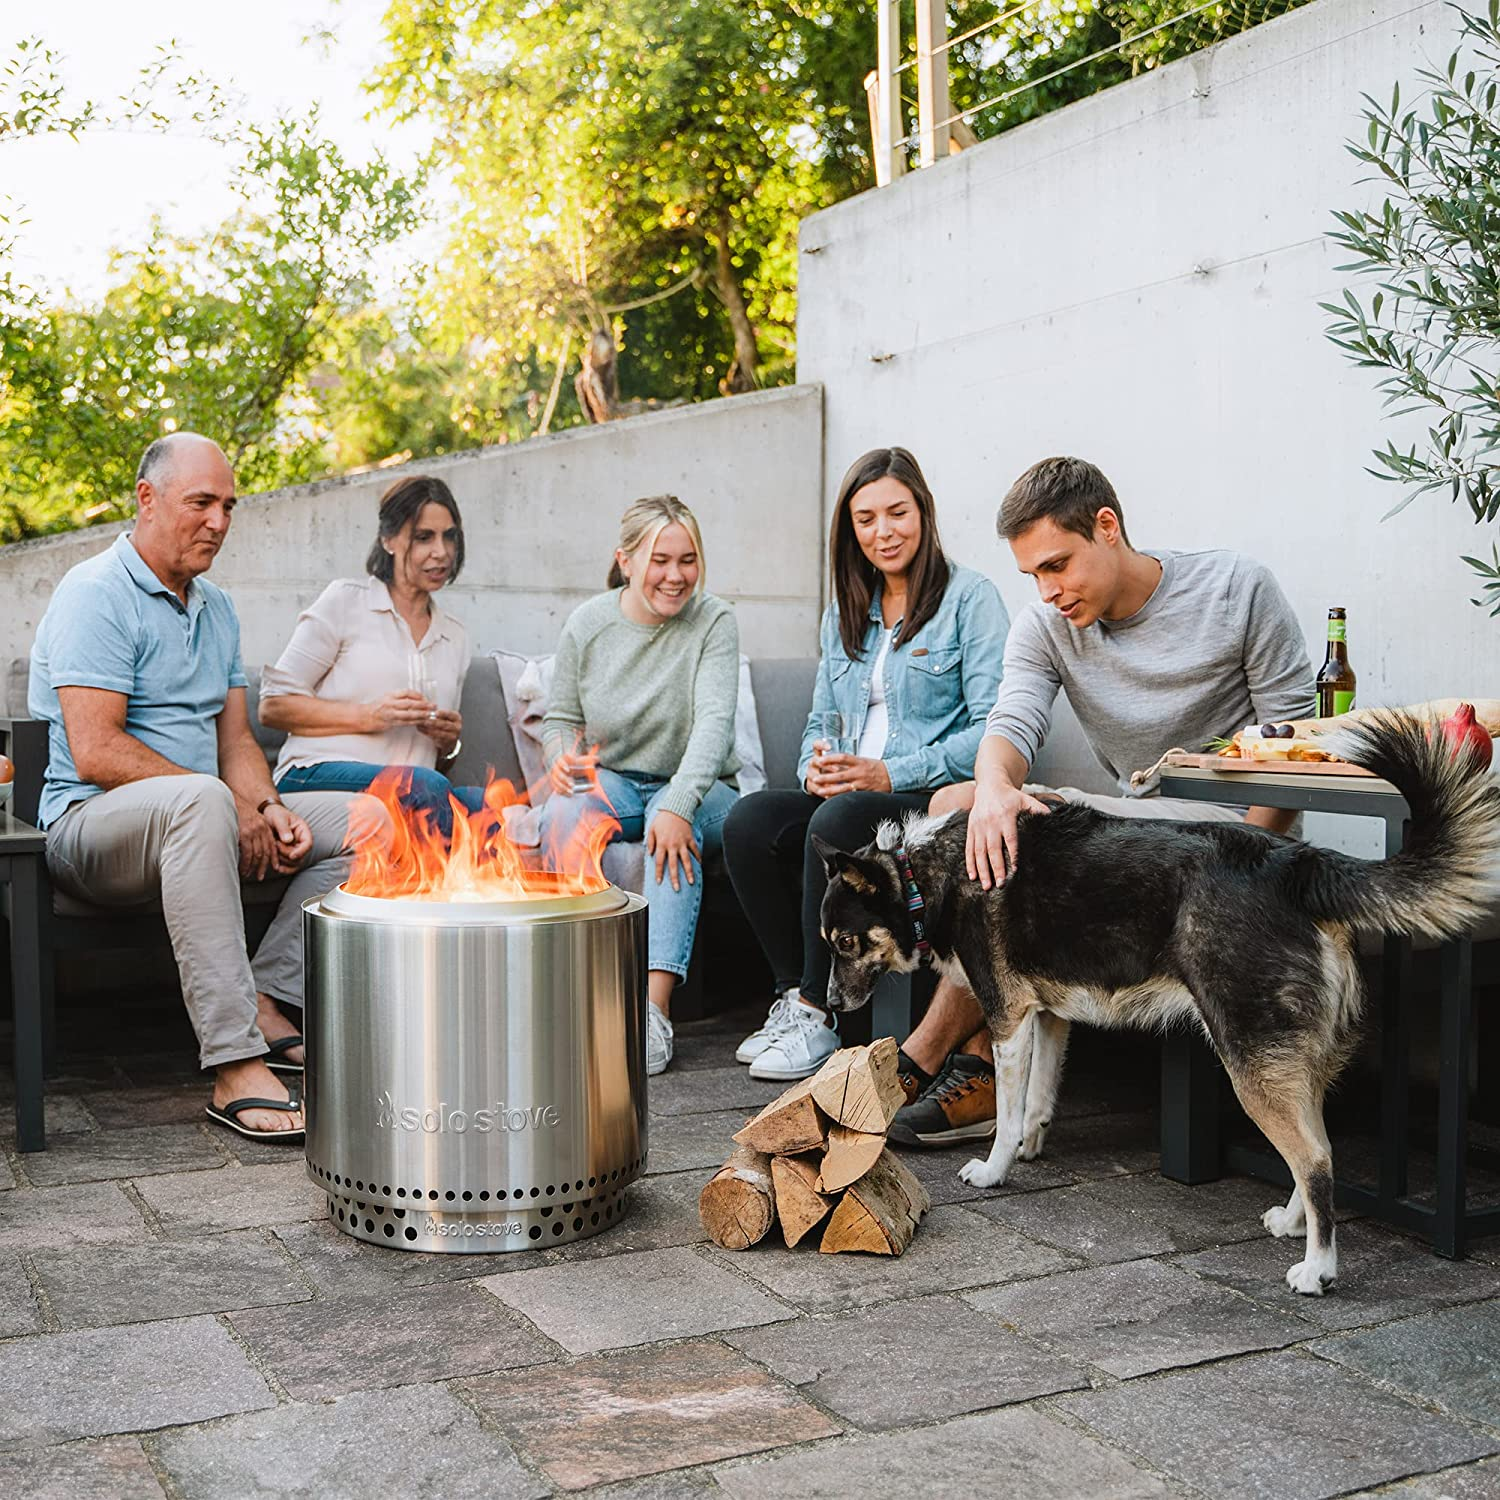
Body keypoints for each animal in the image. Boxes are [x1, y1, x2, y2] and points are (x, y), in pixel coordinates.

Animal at [816, 711, 1494, 1290]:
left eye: (847, 941)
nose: (832, 1006)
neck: (922, 874)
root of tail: (1294, 865)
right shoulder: (1049, 1016)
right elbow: (1037, 1098)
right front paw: (1031, 1146)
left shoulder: (1008, 1020)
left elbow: (1007, 1114)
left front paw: (995, 1168)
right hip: (1296, 1059)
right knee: (1316, 1148)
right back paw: (1292, 1222)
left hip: (1250, 1057)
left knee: (1318, 1158)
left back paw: (1318, 1268)